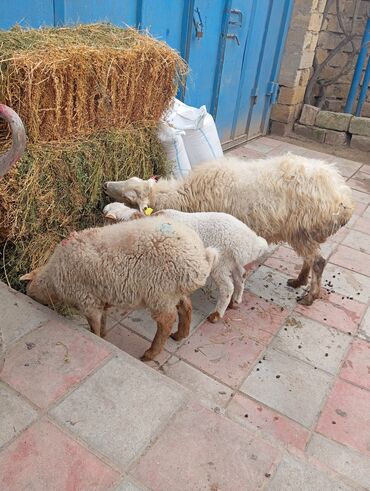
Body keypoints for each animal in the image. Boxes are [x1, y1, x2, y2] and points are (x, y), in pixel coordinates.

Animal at [20, 217, 218, 360]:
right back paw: (180, 335)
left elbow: (94, 326)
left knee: (166, 321)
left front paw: (98, 337)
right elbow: (103, 320)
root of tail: (200, 260)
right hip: (172, 292)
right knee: (185, 306)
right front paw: (104, 334)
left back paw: (150, 353)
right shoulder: (100, 297)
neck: (54, 277)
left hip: (159, 292)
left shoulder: (87, 300)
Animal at [103, 154, 352, 308]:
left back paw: (310, 296)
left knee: (318, 261)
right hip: (300, 232)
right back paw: (298, 281)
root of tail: (342, 197)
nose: (105, 185)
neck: (185, 195)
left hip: (302, 229)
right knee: (310, 259)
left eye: (129, 195)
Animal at [103, 203, 268, 322]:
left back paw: (216, 314)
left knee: (227, 288)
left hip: (220, 262)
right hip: (231, 261)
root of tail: (250, 240)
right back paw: (236, 300)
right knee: (241, 275)